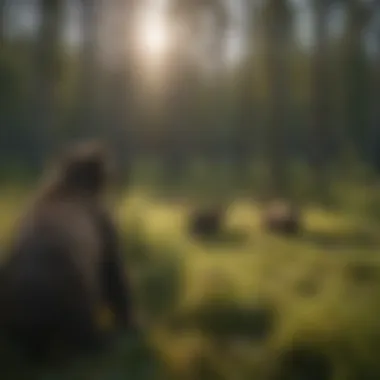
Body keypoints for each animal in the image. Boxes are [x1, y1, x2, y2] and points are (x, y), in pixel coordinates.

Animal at [0, 140, 132, 362]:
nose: (101, 147)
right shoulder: (100, 224)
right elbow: (113, 273)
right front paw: (130, 324)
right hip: (74, 283)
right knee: (85, 323)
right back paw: (104, 342)